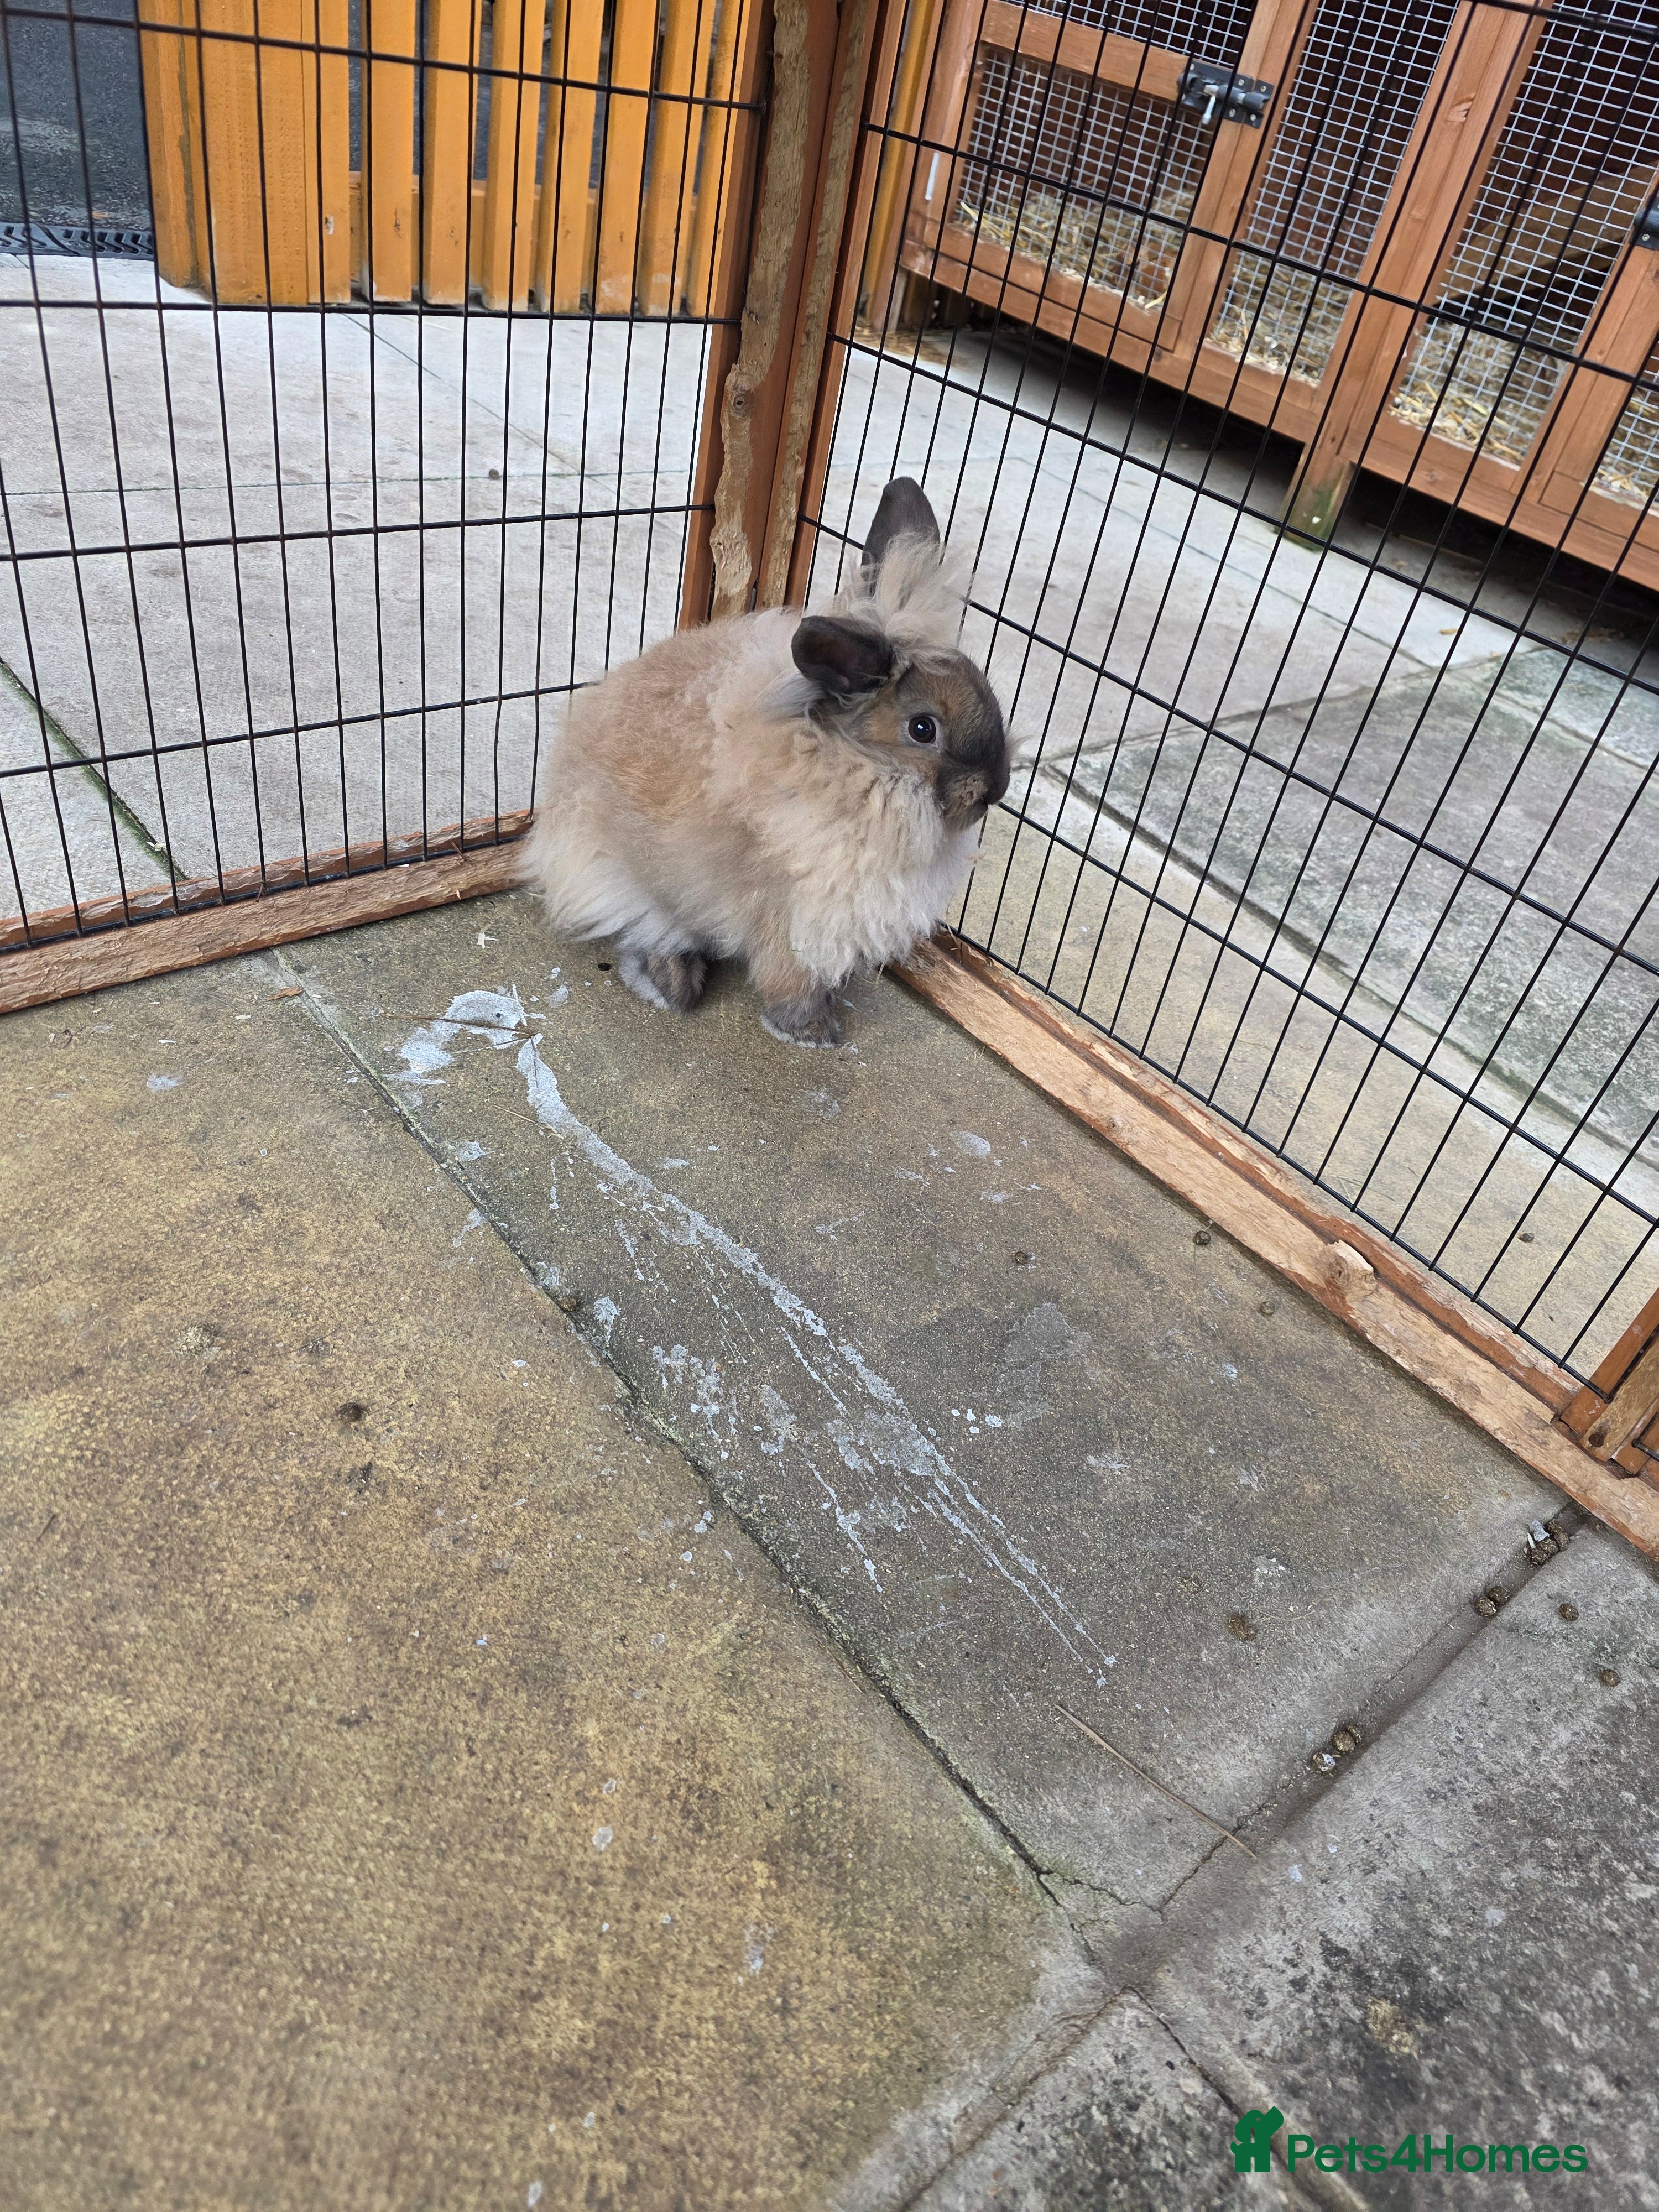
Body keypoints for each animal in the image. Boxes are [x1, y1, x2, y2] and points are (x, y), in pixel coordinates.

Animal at [522, 477, 1008, 1046]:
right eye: (923, 729)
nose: (994, 790)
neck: (855, 771)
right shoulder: (797, 914)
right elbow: (789, 975)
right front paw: (814, 1032)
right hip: (621, 877)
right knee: (646, 929)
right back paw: (675, 984)